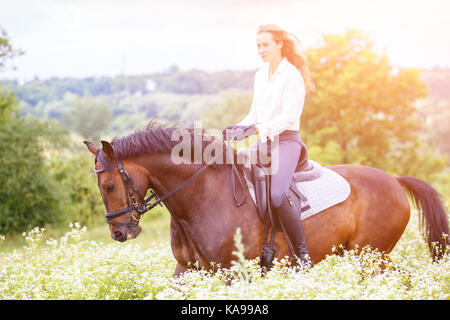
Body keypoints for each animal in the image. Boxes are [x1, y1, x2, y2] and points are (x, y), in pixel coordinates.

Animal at [82, 122, 448, 276]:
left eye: (109, 186)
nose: (119, 233)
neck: (200, 198)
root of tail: (394, 180)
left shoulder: (231, 273)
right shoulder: (186, 270)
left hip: (370, 256)